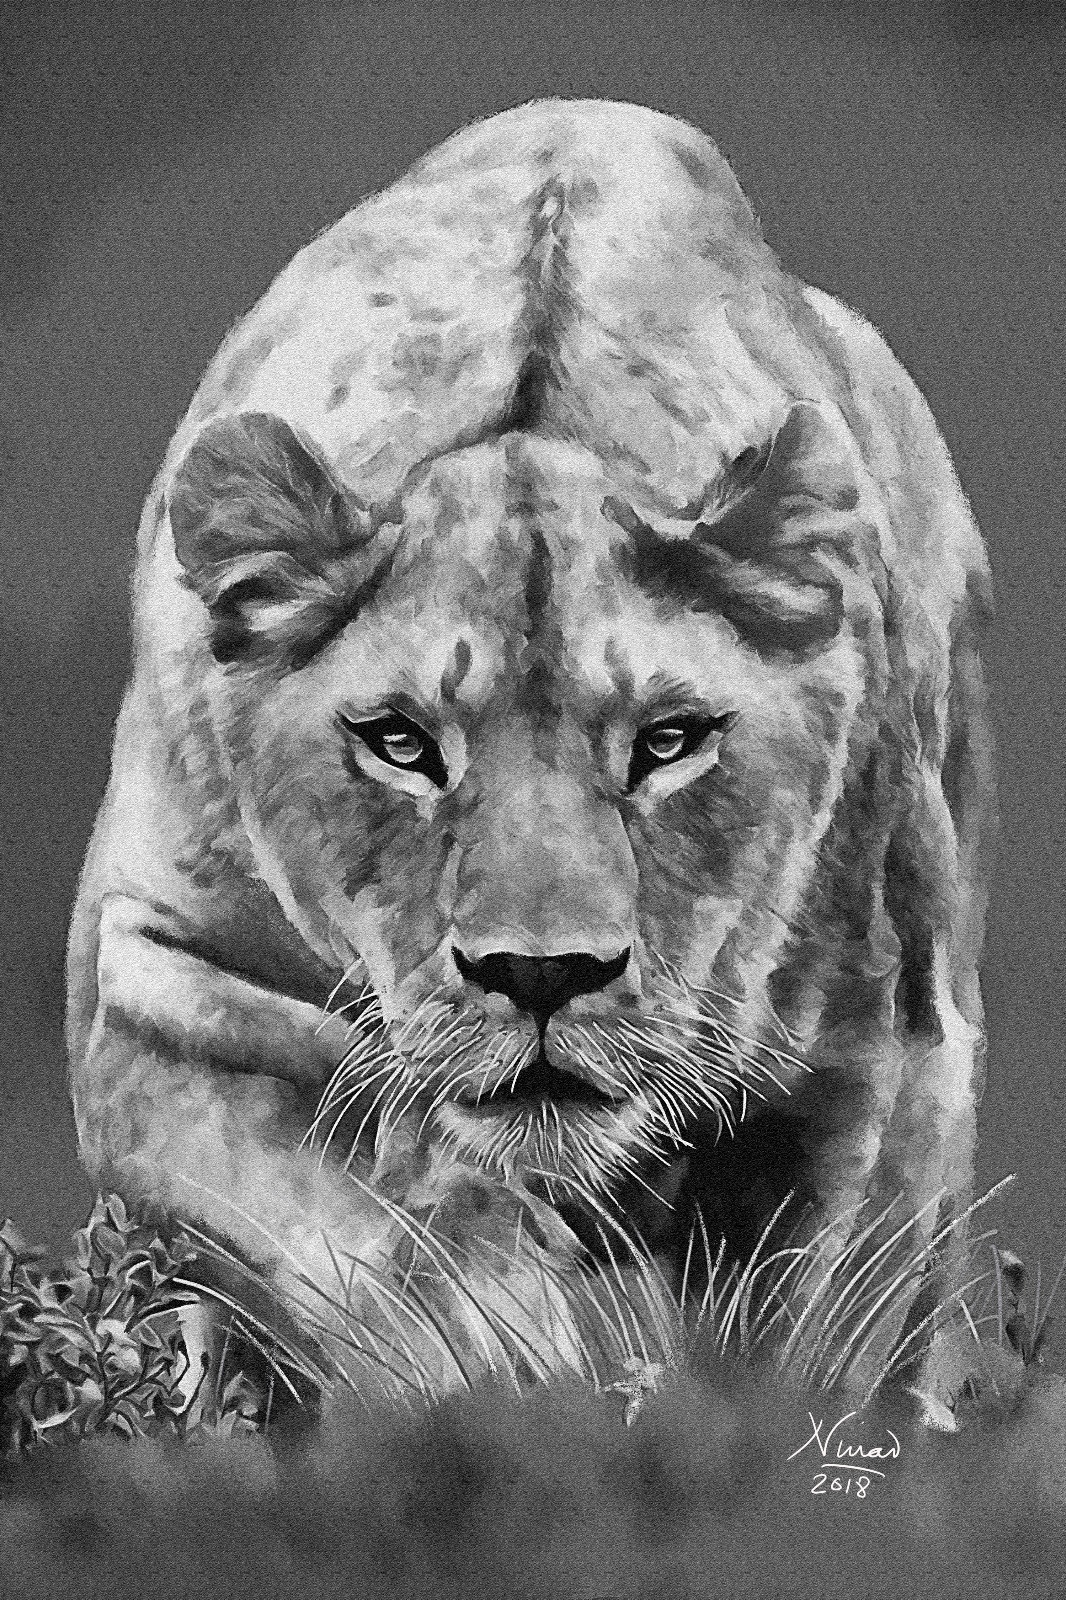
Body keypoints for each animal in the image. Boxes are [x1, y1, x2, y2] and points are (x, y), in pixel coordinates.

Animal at [66, 99, 994, 1393]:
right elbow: (369, 1231)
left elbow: (811, 1330)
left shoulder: (883, 1046)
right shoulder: (152, 970)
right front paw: (513, 1362)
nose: (541, 975)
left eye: (670, 741)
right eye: (399, 742)